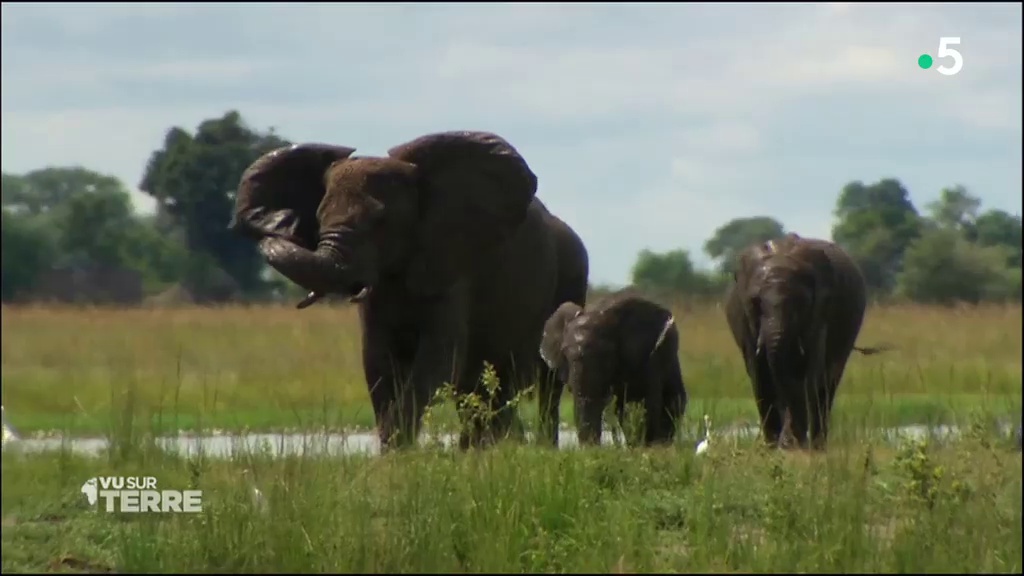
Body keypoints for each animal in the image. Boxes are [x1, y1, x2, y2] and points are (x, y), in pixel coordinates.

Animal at [228, 130, 589, 448]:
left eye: (381, 221)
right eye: (318, 216)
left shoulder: (450, 265)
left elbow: (437, 362)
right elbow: (377, 364)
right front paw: (394, 456)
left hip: (569, 278)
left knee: (539, 386)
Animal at [536, 289, 688, 446]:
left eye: (607, 355)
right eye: (565, 354)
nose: (591, 447)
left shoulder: (647, 357)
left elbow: (643, 403)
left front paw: (644, 446)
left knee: (672, 401)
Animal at [724, 231, 884, 448]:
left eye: (801, 302)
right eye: (755, 302)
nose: (787, 439)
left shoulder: (820, 312)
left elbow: (809, 372)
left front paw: (791, 444)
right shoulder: (745, 321)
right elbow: (759, 373)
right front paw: (773, 446)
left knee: (827, 384)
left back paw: (816, 445)